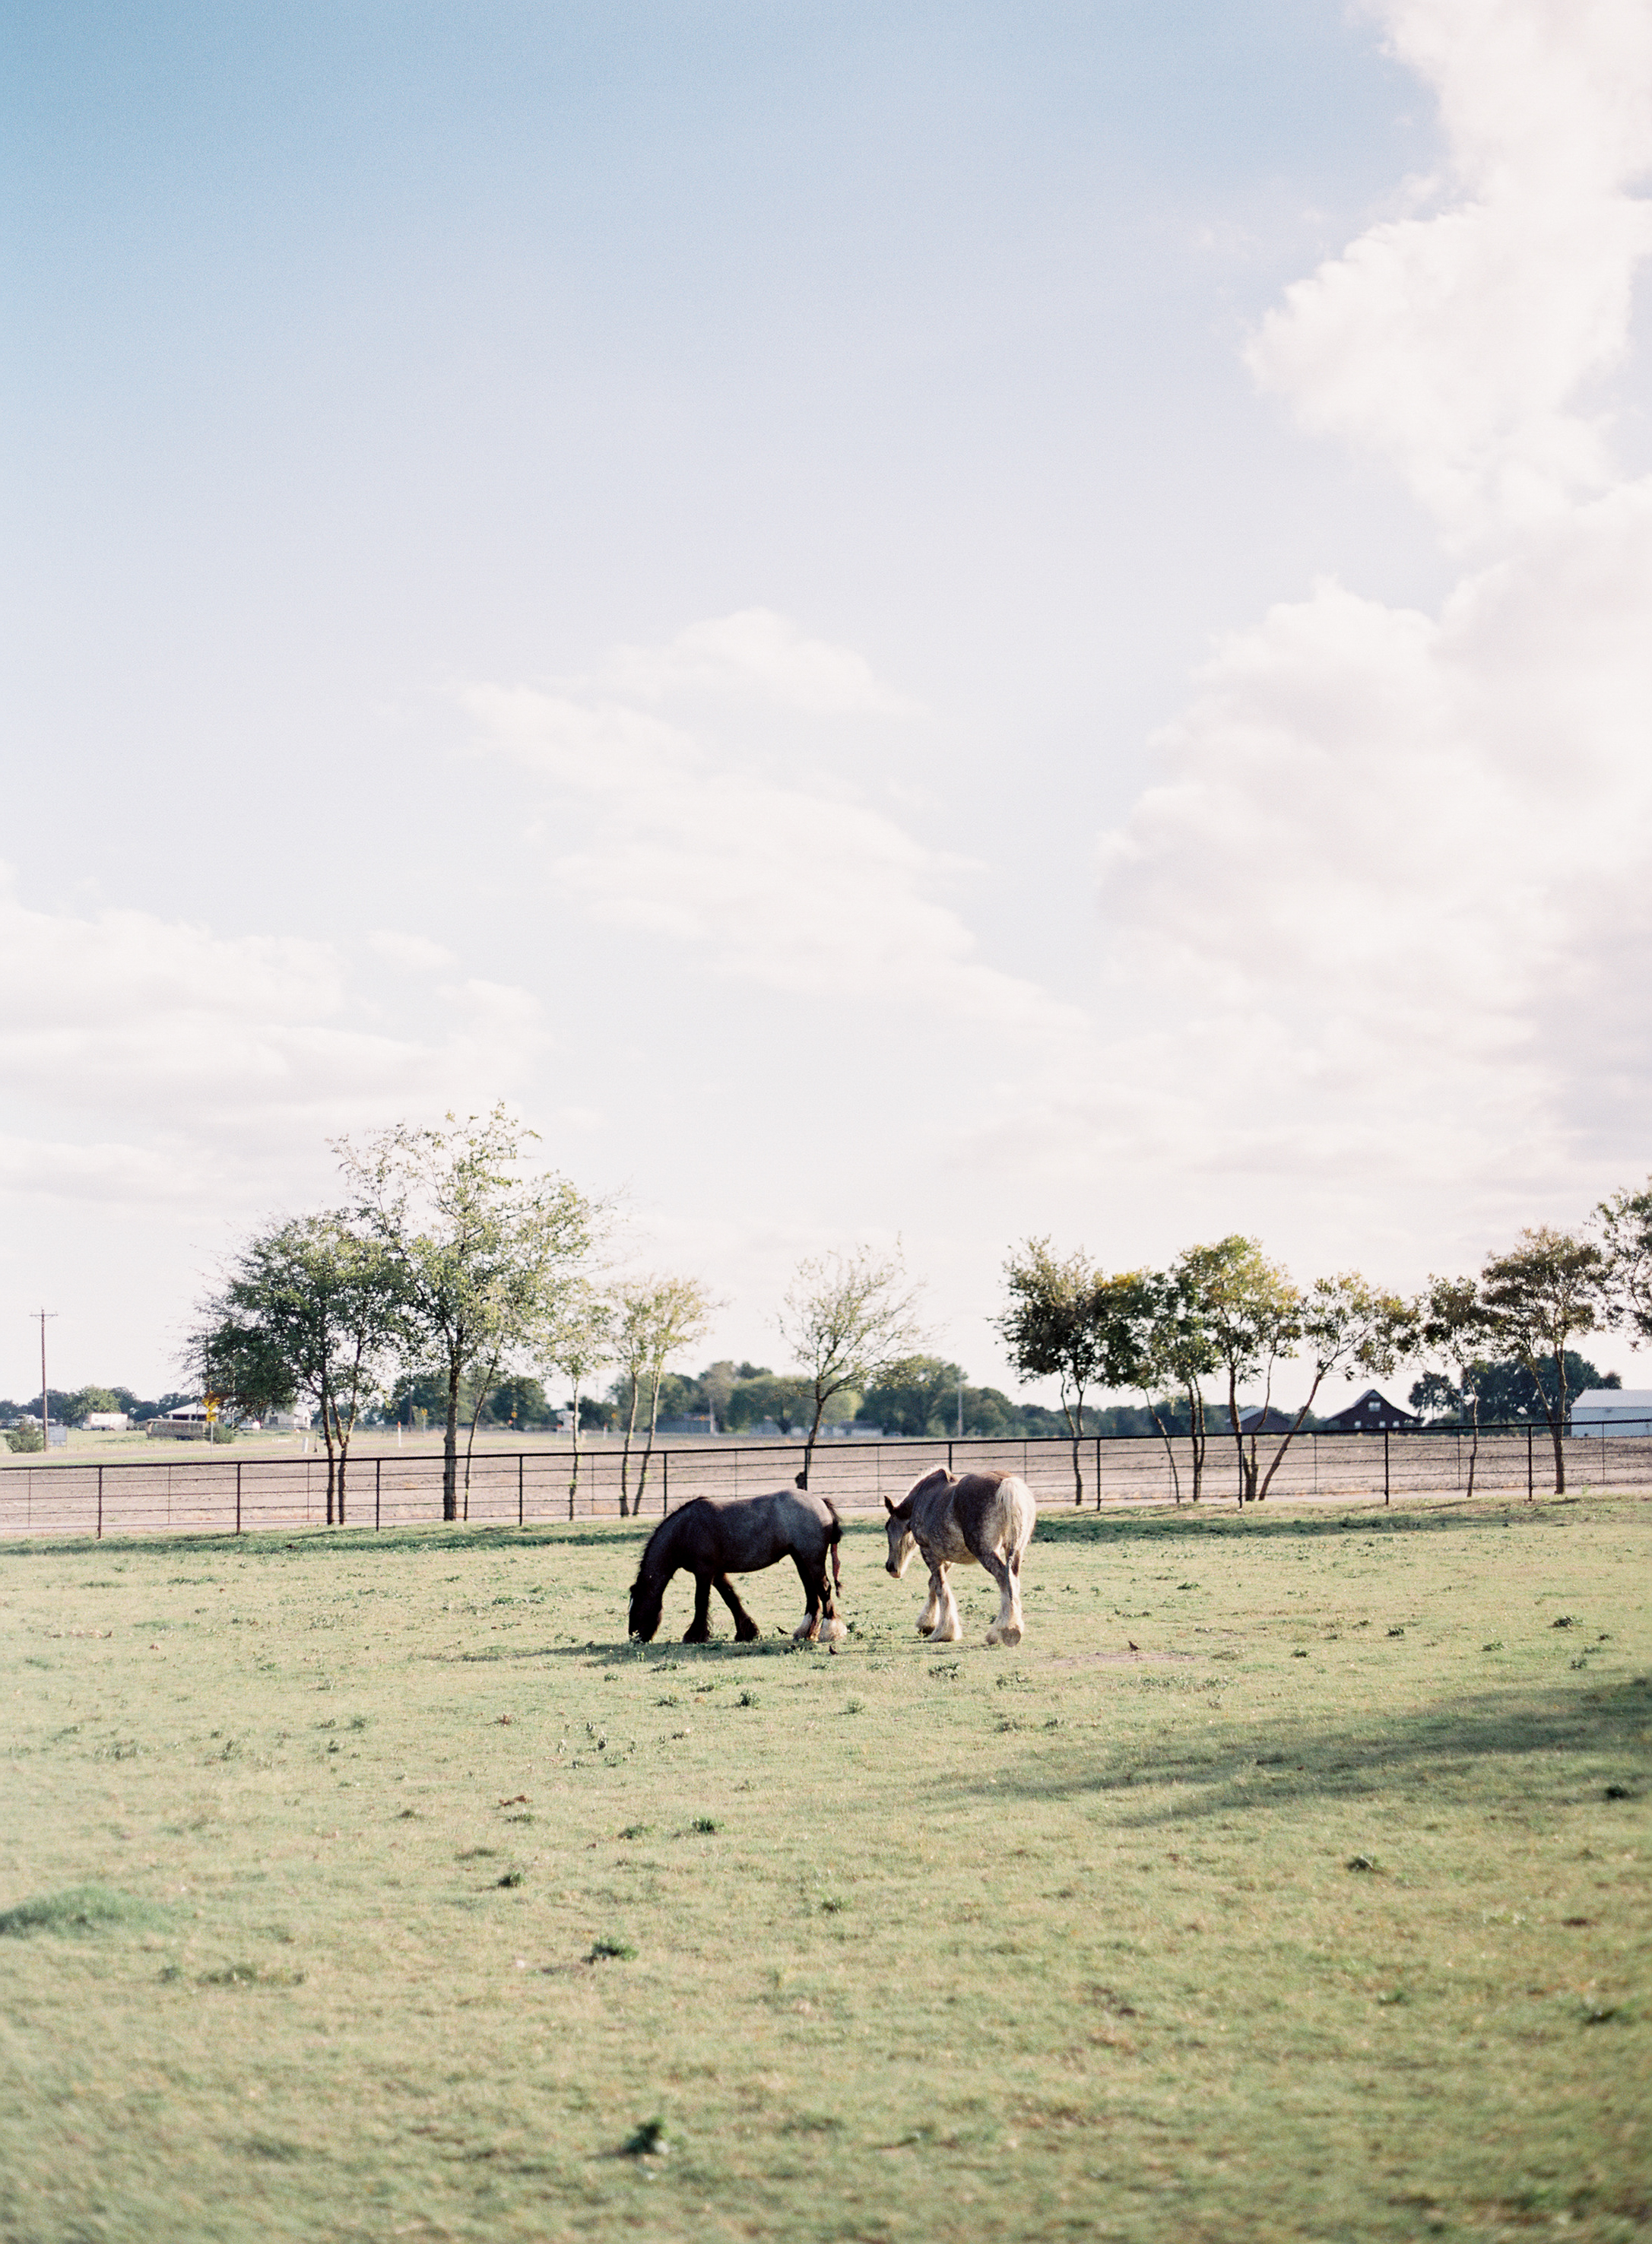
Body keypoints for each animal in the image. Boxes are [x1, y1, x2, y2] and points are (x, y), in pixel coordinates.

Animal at [628, 1488, 847, 1645]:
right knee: (811, 1593)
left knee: (823, 1589)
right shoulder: (716, 1573)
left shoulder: (704, 1572)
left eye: (637, 1607)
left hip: (812, 1559)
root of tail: (821, 1502)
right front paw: (747, 1632)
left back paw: (830, 1631)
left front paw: (694, 1635)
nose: (634, 1636)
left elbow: (701, 1601)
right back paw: (805, 1632)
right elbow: (731, 1598)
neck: (685, 1530)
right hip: (800, 1559)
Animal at [882, 1467, 1035, 1646]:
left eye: (887, 1526)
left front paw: (944, 1632)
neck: (922, 1497)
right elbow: (932, 1584)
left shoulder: (929, 1553)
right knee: (1013, 1580)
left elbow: (940, 1587)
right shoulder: (947, 1558)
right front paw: (927, 1624)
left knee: (1004, 1579)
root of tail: (1007, 1483)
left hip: (985, 1552)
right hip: (1016, 1551)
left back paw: (1004, 1631)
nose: (890, 1567)